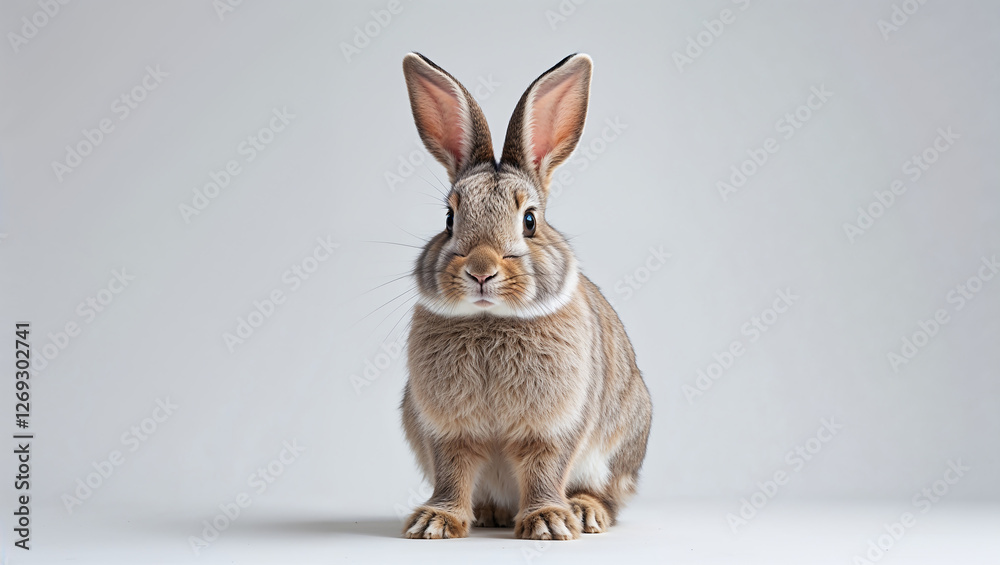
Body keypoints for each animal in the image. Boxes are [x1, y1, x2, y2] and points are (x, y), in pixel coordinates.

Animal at [399, 52, 652, 541]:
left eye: (530, 221)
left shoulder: (556, 425)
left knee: (609, 495)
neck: (490, 318)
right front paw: (434, 522)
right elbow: (452, 471)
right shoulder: (444, 428)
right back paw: (490, 514)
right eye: (449, 219)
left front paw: (548, 523)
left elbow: (544, 468)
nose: (481, 271)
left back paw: (584, 512)